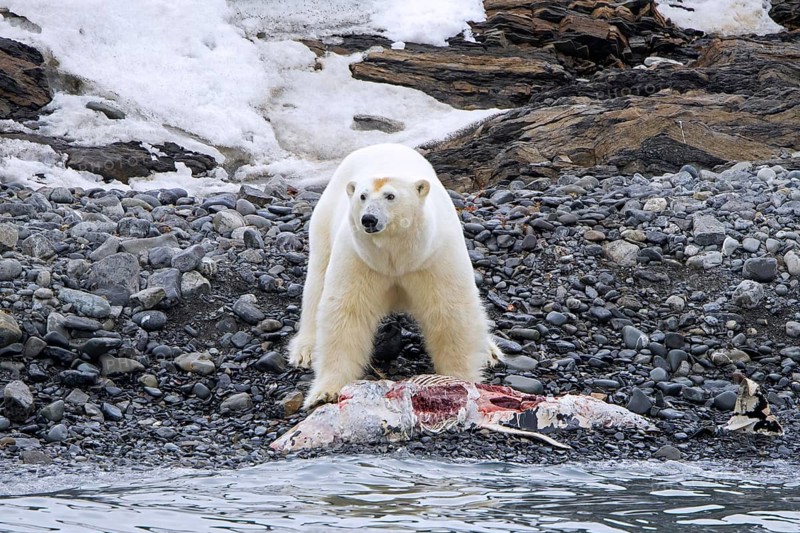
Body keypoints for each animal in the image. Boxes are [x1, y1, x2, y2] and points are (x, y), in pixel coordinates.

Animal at [288, 143, 502, 409]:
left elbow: (451, 312)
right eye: (362, 196)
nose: (369, 219)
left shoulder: (433, 257)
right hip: (324, 222)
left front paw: (462, 381)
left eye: (390, 196)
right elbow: (346, 314)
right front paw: (324, 393)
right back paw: (305, 349)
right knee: (317, 282)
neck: (396, 258)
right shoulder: (359, 259)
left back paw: (490, 350)